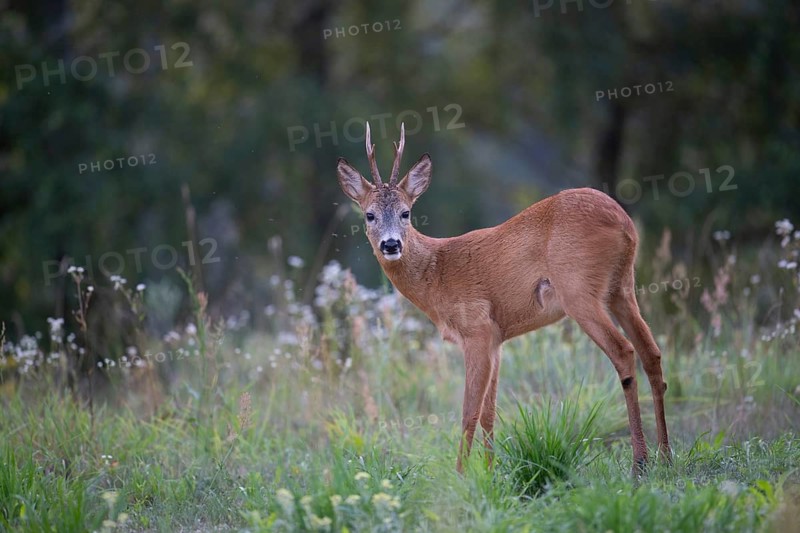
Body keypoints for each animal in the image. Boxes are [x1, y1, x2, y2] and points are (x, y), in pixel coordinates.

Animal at [336, 123, 671, 475]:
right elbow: (489, 413)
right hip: (622, 288)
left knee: (624, 352)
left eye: (406, 212)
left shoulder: (477, 330)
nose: (391, 245)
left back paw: (639, 464)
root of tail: (625, 223)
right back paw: (666, 457)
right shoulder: (497, 339)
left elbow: (469, 411)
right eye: (369, 215)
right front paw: (489, 472)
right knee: (652, 353)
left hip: (579, 290)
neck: (436, 272)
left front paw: (461, 476)